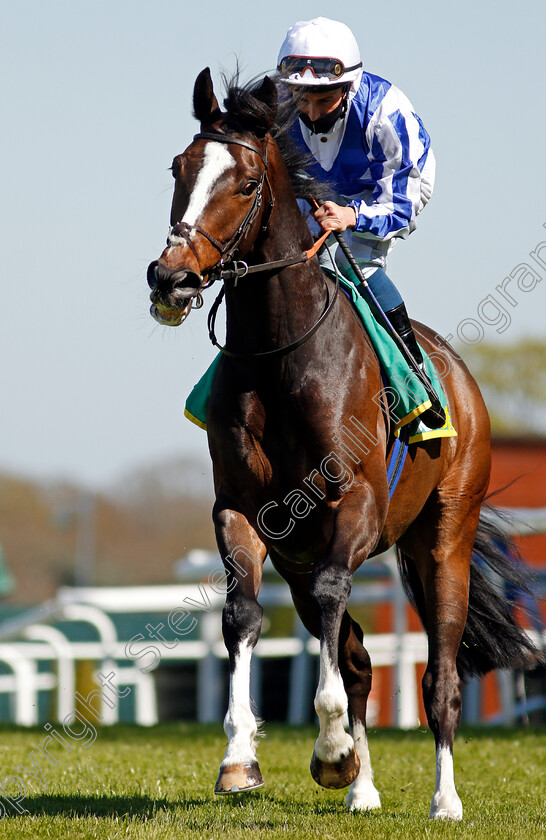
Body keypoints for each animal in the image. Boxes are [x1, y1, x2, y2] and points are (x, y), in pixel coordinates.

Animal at [146, 72, 540, 820]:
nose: (169, 277)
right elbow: (242, 613)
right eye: (178, 168)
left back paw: (444, 799)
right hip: (300, 558)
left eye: (245, 182)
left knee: (440, 676)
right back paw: (361, 788)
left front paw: (329, 748)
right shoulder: (245, 511)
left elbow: (340, 603)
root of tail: (463, 382)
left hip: (444, 538)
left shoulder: (352, 503)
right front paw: (242, 758)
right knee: (356, 660)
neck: (281, 354)